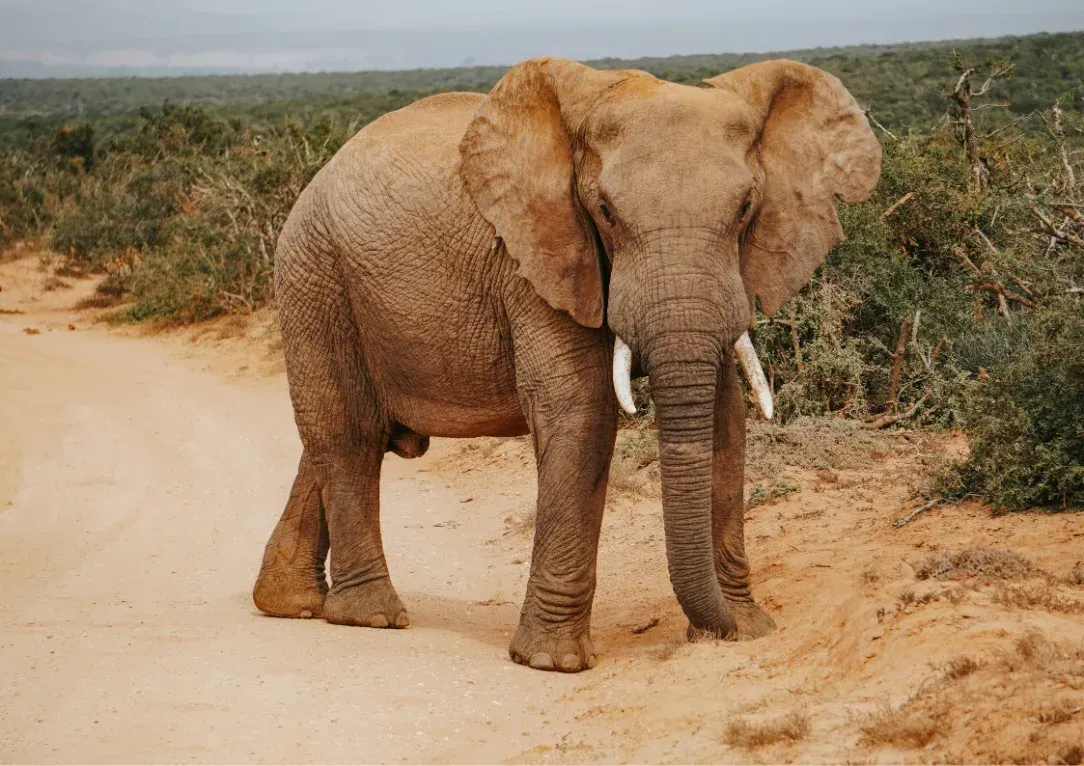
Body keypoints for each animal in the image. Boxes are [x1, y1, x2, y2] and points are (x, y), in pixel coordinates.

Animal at [252, 56, 881, 672]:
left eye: (746, 208)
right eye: (605, 212)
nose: (717, 629)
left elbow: (726, 415)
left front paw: (747, 629)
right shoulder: (537, 255)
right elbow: (581, 408)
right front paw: (552, 662)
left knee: (348, 437)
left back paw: (289, 603)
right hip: (314, 274)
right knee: (349, 434)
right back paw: (372, 616)